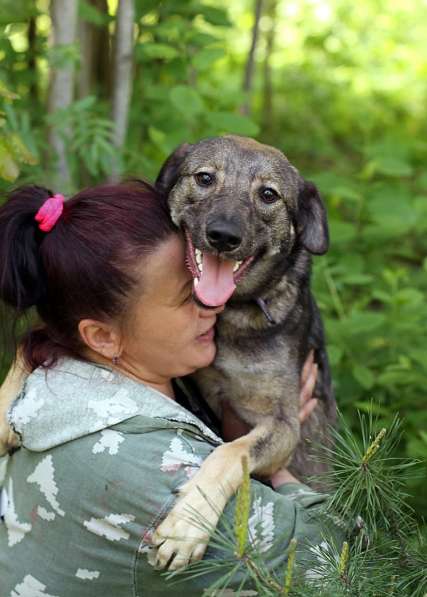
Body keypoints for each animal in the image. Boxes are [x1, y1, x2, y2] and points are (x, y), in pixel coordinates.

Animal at [152, 134, 336, 568]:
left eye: (268, 194)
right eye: (204, 178)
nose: (223, 235)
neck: (228, 316)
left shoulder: (284, 425)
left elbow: (232, 452)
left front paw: (187, 525)